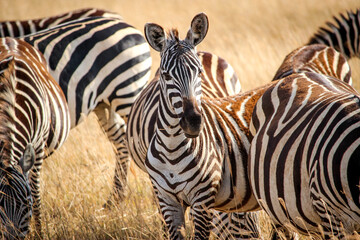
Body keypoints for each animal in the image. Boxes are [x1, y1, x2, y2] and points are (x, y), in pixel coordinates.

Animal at [0, 36, 70, 239]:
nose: (12, 238)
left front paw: (39, 232)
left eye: (26, 204)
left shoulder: (38, 146)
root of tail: (9, 39)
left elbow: (36, 189)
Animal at [141, 13, 268, 240]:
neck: (172, 147)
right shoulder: (167, 200)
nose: (193, 122)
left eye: (199, 72)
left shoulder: (202, 200)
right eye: (165, 75)